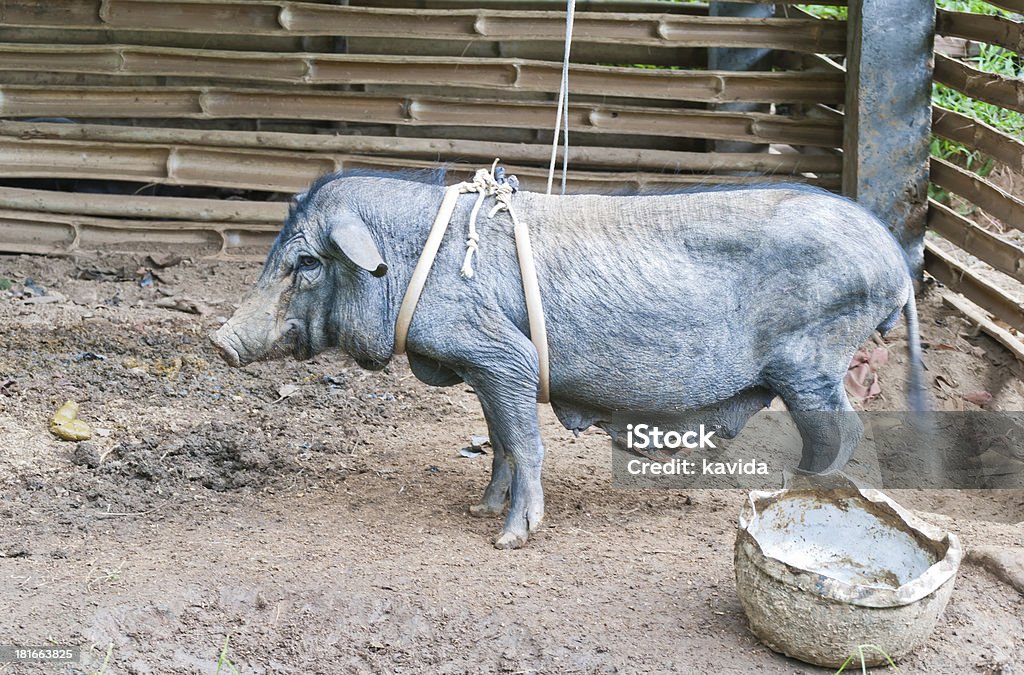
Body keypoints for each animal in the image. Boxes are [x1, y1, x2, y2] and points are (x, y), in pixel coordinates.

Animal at [211, 169, 925, 549]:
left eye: (306, 262)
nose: (219, 341)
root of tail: (896, 262)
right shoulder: (483, 369)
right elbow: (500, 439)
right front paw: (480, 510)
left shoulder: (504, 355)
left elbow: (526, 442)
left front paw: (509, 540)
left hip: (812, 357)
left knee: (842, 429)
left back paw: (796, 489)